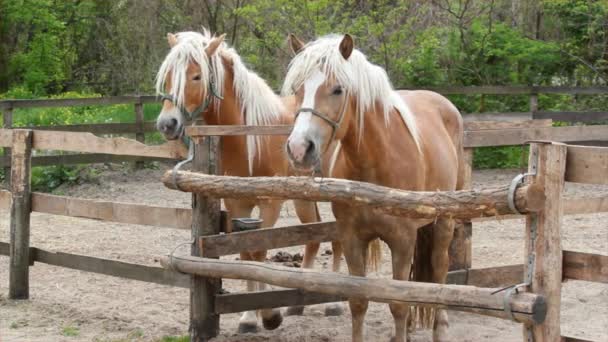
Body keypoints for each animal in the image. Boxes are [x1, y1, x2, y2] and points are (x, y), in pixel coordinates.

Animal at [154, 30, 344, 334]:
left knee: (336, 236)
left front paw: (268, 314)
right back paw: (299, 302)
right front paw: (248, 318)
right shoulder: (237, 203)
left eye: (196, 76)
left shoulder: (270, 203)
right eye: (169, 75)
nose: (167, 124)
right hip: (303, 197)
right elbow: (245, 254)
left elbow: (259, 250)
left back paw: (334, 303)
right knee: (314, 234)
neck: (248, 134)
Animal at [282, 34, 464, 342]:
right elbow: (359, 301)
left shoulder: (402, 240)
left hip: (444, 222)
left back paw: (439, 329)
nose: (298, 149)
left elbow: (398, 304)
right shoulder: (353, 238)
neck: (375, 163)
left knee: (439, 273)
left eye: (337, 89)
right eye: (297, 89)